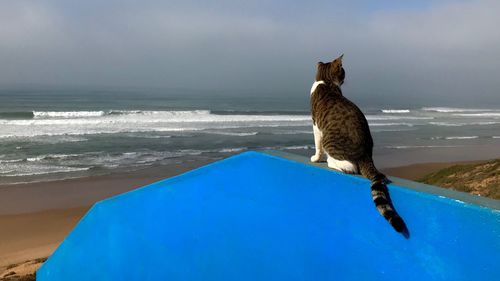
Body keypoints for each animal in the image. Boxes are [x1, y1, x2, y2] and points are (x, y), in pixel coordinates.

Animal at [310, 54, 408, 232]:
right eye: (343, 72)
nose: (344, 79)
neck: (326, 81)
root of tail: (366, 155)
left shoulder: (316, 125)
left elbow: (317, 145)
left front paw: (315, 158)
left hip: (330, 142)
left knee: (350, 167)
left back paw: (330, 162)